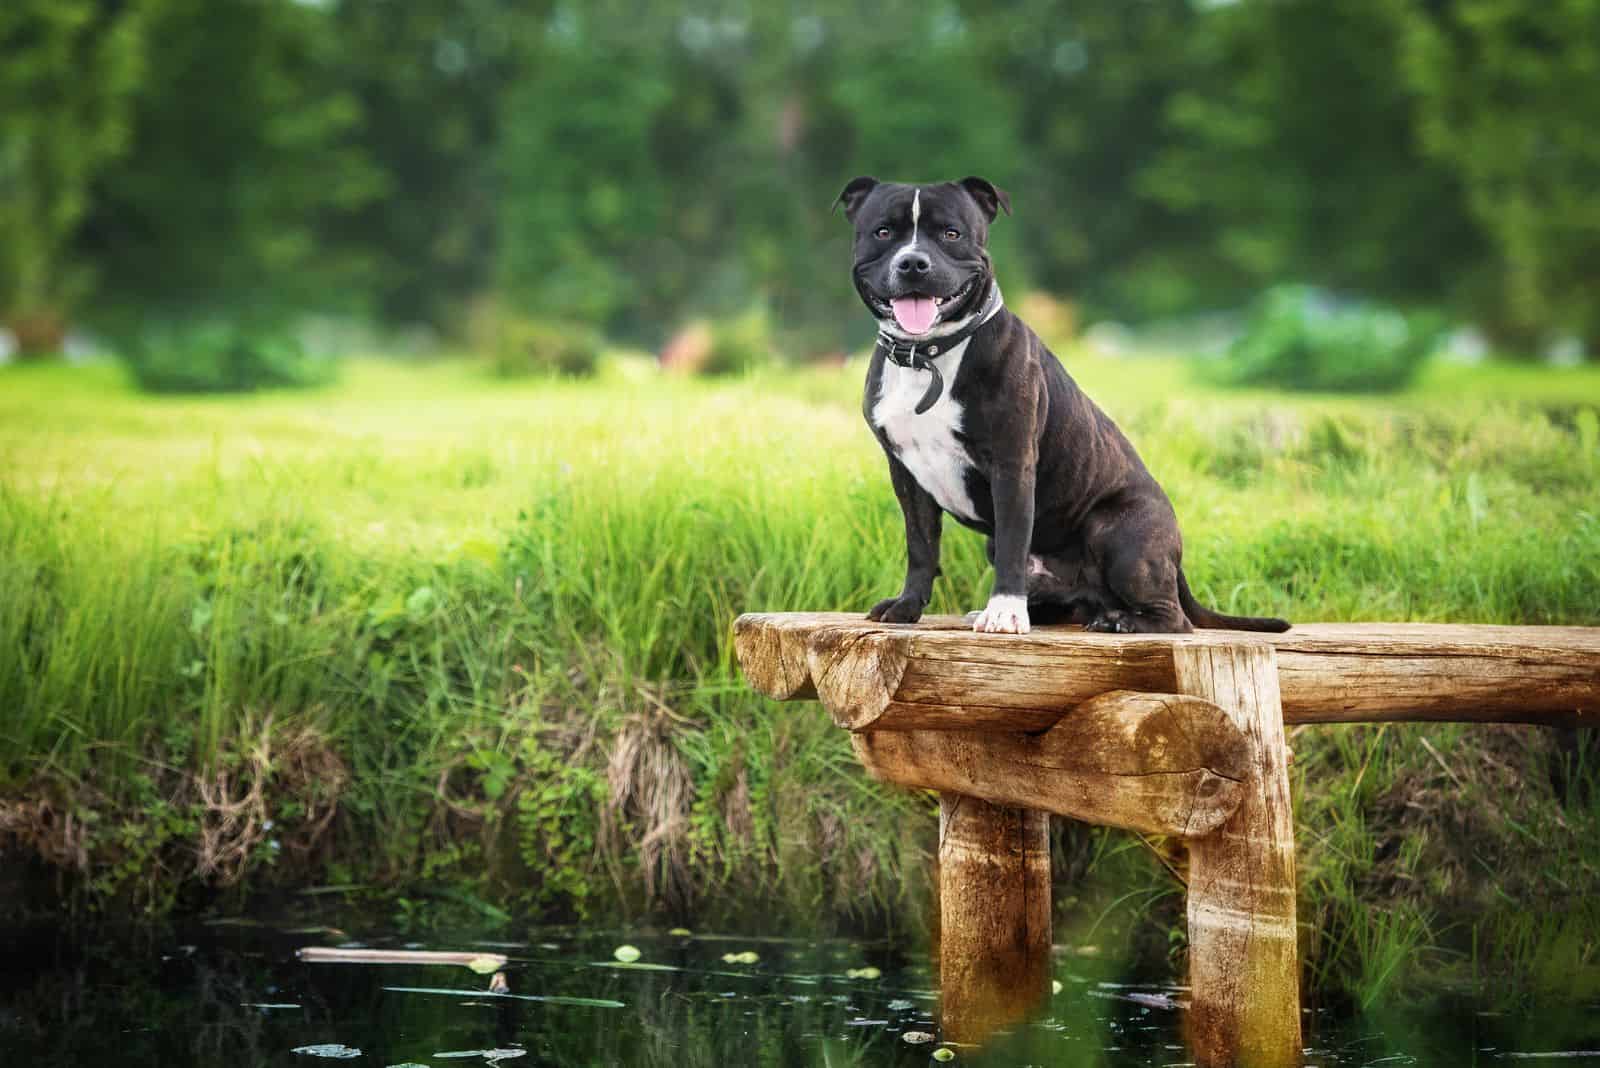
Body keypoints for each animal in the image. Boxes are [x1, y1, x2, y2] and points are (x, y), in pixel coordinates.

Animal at [838, 175, 1286, 633]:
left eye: (951, 233)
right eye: (883, 232)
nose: (913, 263)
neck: (927, 356)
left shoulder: (1012, 465)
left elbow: (1014, 543)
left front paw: (1005, 613)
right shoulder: (907, 475)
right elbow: (921, 546)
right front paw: (908, 606)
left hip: (1119, 533)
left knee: (1174, 618)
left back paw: (1120, 621)